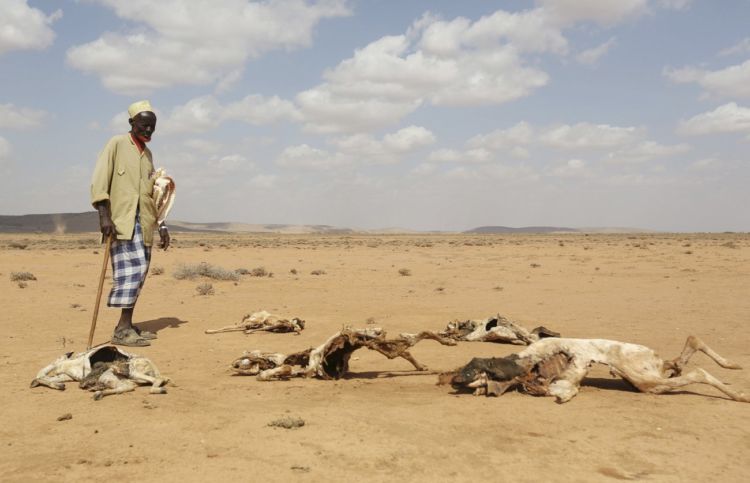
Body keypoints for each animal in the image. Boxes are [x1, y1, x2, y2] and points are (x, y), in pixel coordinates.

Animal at [30, 348, 169, 400]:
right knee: (127, 387)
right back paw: (97, 391)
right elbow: (43, 376)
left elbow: (41, 374)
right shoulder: (67, 376)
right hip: (117, 378)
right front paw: (58, 385)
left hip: (132, 373)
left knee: (157, 380)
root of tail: (153, 366)